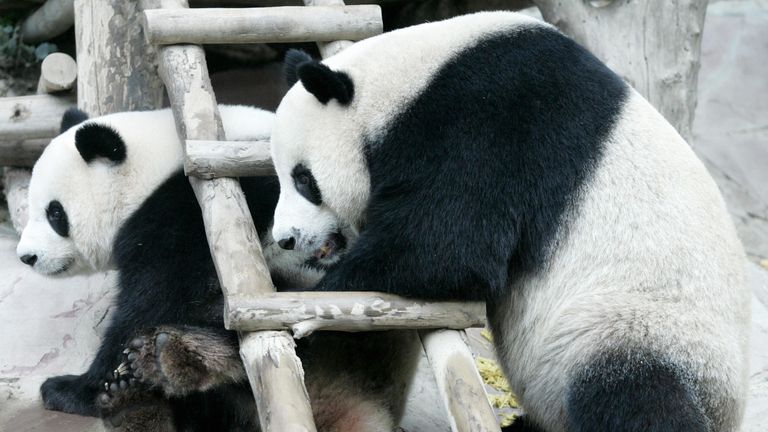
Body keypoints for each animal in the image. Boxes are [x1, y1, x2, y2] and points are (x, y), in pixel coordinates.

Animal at [16, 106, 420, 431]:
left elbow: (154, 298)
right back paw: (137, 403)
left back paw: (169, 360)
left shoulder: (179, 214)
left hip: (329, 308)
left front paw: (70, 389)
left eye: (55, 213)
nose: (26, 257)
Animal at [268, 12, 751, 432]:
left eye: (304, 179)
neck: (405, 84)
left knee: (635, 397)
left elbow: (448, 250)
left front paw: (317, 305)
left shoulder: (493, 122)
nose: (286, 238)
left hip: (644, 330)